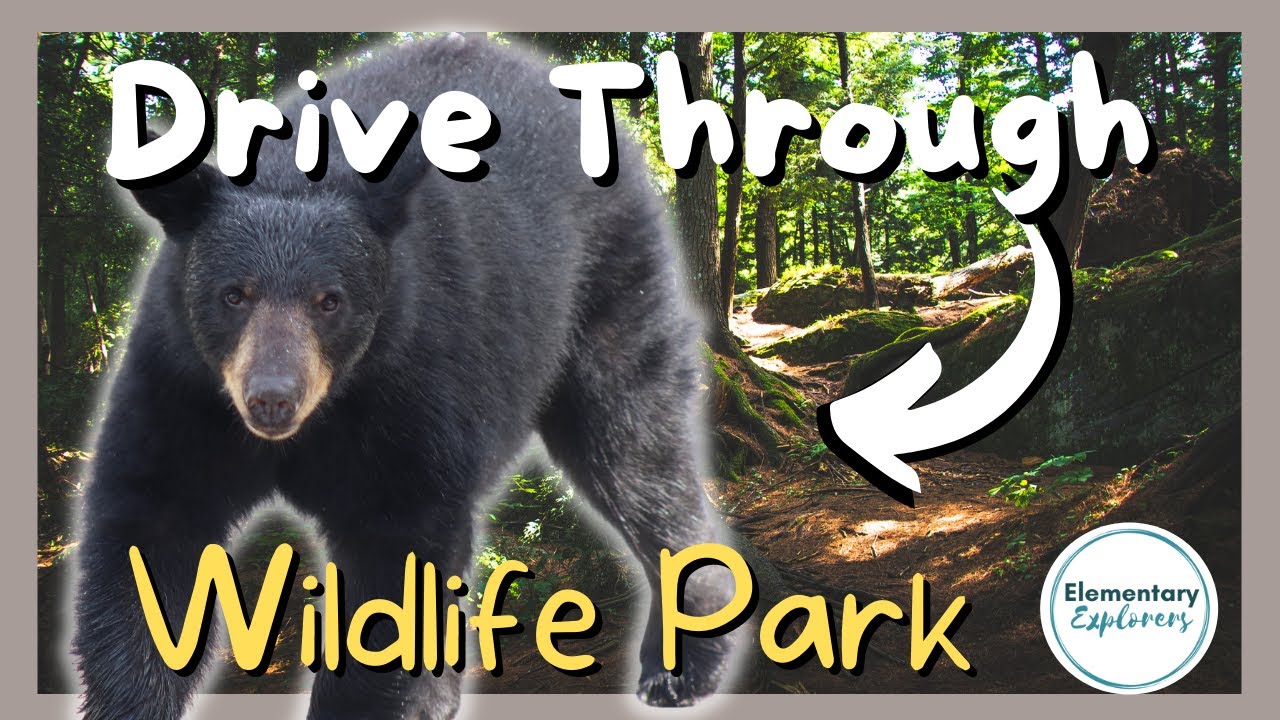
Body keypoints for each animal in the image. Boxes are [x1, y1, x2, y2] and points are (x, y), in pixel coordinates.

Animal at [72, 36, 741, 720]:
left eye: (330, 300)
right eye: (233, 294)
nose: (272, 400)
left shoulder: (413, 384)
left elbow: (397, 555)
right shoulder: (182, 382)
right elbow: (151, 530)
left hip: (609, 294)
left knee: (636, 454)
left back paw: (682, 664)